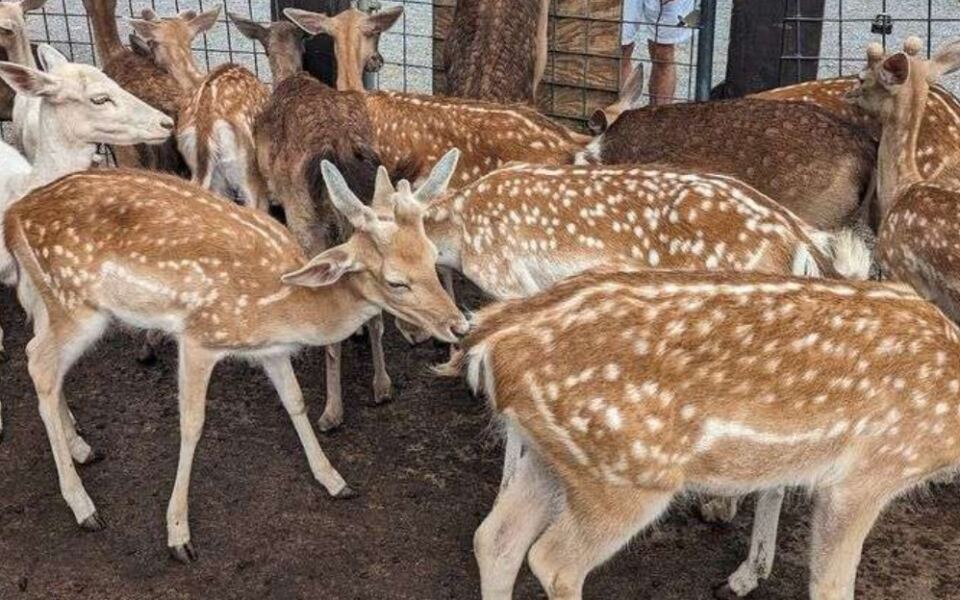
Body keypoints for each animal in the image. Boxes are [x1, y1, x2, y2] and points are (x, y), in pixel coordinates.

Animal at [1, 149, 467, 562]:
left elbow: (295, 402)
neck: (286, 307)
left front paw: (334, 480)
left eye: (432, 256)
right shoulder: (200, 337)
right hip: (77, 304)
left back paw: (82, 447)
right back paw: (84, 506)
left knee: (39, 354)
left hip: (58, 303)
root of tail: (14, 215)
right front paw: (178, 535)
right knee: (39, 364)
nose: (458, 325)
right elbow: (192, 426)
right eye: (396, 282)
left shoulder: (270, 349)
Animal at [441, 268, 960, 600]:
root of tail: (491, 339)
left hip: (559, 457)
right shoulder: (868, 473)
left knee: (495, 540)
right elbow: (832, 584)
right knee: (553, 562)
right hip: (628, 476)